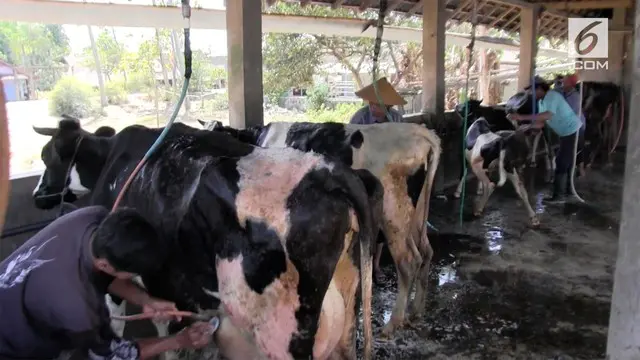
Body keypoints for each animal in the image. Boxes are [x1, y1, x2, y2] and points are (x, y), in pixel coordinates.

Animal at [199, 119, 440, 336]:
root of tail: (422, 133)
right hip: (416, 213)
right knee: (426, 251)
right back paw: (416, 310)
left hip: (394, 211)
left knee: (408, 261)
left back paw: (394, 323)